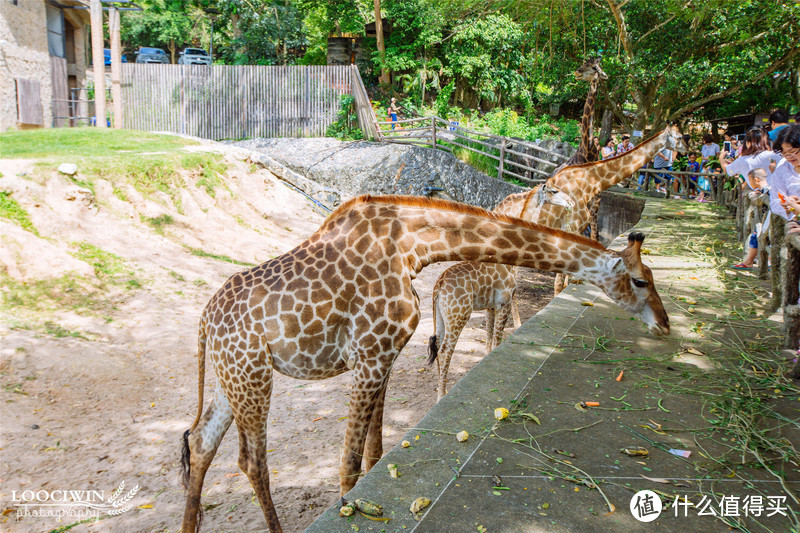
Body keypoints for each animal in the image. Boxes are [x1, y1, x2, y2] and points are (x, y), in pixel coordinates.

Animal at [180, 193, 668, 528]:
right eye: (641, 281)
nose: (665, 325)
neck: (413, 247)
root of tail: (203, 323)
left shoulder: (384, 355)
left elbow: (374, 451)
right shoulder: (370, 355)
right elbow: (349, 466)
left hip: (231, 377)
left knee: (201, 442)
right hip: (253, 377)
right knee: (251, 461)